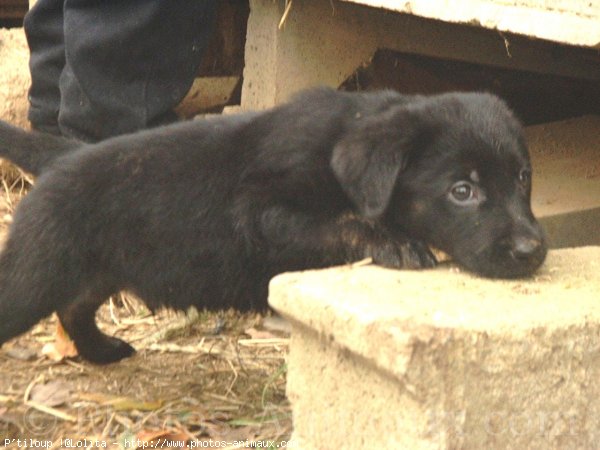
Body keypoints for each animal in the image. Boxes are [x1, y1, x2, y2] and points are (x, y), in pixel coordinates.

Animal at [0, 87, 548, 362]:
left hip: (96, 269)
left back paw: (101, 351)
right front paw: (393, 242)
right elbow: (340, 221)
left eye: (524, 177)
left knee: (74, 306)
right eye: (462, 191)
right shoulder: (261, 211)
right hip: (33, 272)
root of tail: (62, 155)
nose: (531, 251)